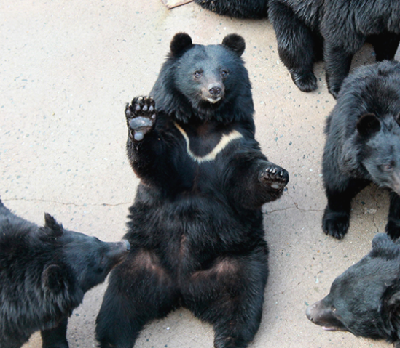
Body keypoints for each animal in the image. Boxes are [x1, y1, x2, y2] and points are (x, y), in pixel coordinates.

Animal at [95, 32, 290, 348]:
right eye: (197, 73)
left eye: (225, 72)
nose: (214, 90)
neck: (204, 122)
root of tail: (181, 288)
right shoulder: (176, 133)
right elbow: (158, 165)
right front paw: (140, 116)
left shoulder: (233, 138)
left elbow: (243, 178)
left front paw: (273, 175)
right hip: (140, 253)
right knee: (120, 303)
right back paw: (112, 339)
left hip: (240, 259)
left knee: (242, 305)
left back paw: (228, 338)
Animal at [268, 0, 400, 97]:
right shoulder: (347, 8)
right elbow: (339, 42)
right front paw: (338, 88)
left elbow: (387, 41)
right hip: (289, 9)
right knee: (294, 40)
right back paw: (305, 79)